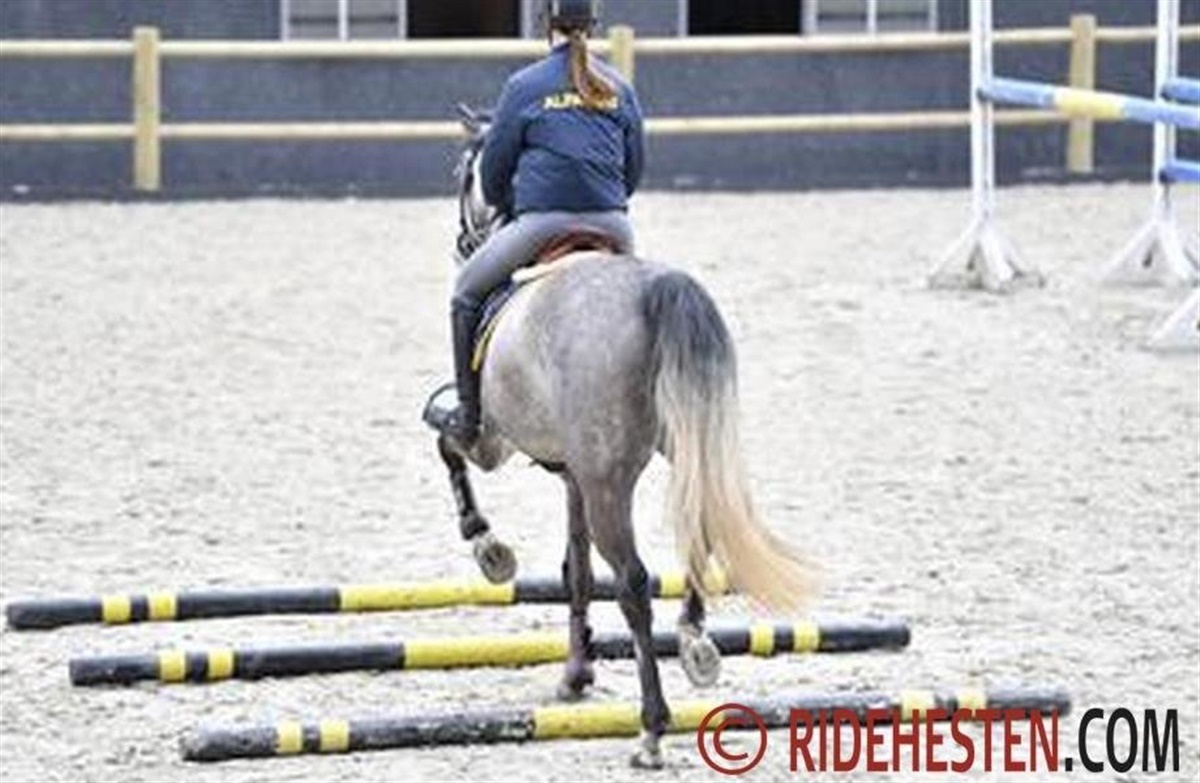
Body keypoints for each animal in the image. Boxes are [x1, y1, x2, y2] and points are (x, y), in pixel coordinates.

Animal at [423, 104, 816, 768]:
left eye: (462, 174)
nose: (461, 243)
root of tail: (657, 291)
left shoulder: (495, 442)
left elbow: (450, 446)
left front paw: (490, 549)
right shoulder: (574, 476)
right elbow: (575, 571)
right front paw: (575, 675)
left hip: (610, 480)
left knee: (633, 582)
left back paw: (652, 730)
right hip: (682, 451)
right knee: (697, 533)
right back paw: (694, 640)